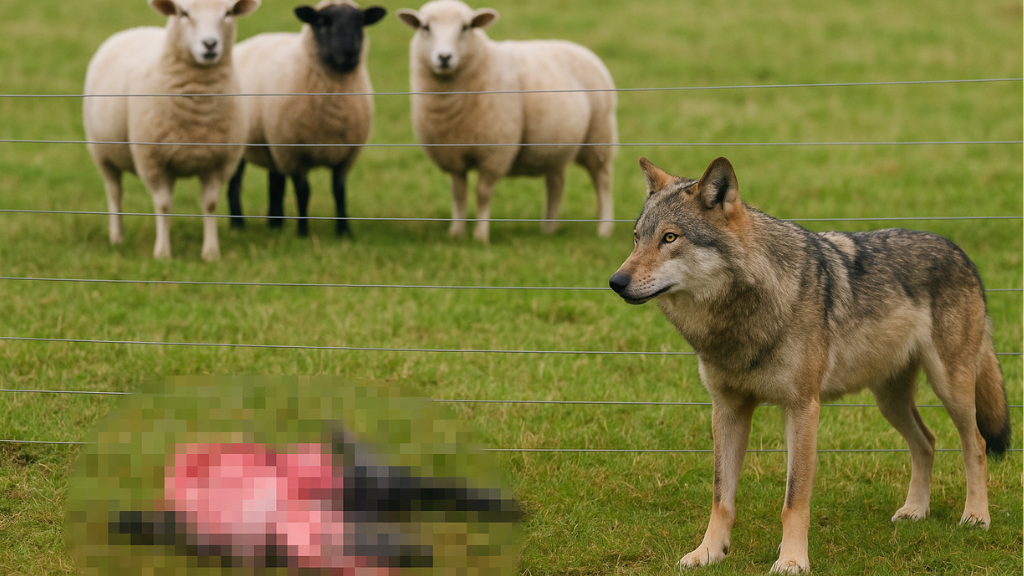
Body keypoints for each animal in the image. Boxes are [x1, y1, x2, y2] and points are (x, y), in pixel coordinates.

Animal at [84, 0, 260, 261]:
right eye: (183, 13)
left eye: (228, 13)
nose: (210, 44)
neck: (199, 106)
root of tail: (135, 29)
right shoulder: (152, 159)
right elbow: (164, 204)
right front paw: (162, 253)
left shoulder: (219, 161)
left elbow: (210, 204)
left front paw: (211, 253)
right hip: (103, 153)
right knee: (114, 192)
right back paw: (117, 236)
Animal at [226, 1, 387, 238]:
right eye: (321, 22)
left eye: (360, 22)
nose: (350, 54)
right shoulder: (295, 153)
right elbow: (303, 191)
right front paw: (303, 231)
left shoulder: (345, 155)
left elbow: (339, 190)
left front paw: (344, 231)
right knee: (235, 183)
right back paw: (238, 224)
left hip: (272, 144)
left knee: (275, 182)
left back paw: (275, 223)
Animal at [396, 0, 617, 242]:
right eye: (425, 27)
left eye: (466, 27)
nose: (444, 58)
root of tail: (577, 47)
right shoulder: (453, 155)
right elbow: (458, 193)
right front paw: (456, 233)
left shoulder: (494, 152)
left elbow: (483, 193)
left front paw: (480, 236)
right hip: (554, 145)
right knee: (556, 183)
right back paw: (549, 229)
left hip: (598, 136)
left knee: (602, 180)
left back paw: (604, 229)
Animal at [608, 157, 1010, 574]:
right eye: (637, 238)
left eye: (670, 238)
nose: (615, 281)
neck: (742, 317)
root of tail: (963, 255)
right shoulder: (726, 409)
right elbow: (721, 496)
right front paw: (708, 553)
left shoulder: (802, 408)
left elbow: (794, 499)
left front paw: (791, 560)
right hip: (890, 402)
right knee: (927, 441)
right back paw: (915, 510)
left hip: (952, 389)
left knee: (976, 443)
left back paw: (976, 517)